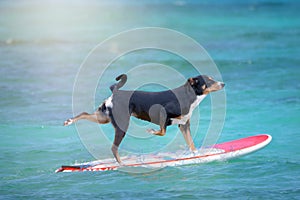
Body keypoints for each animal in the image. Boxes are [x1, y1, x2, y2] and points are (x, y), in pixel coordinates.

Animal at [65, 74, 225, 163]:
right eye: (209, 81)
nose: (223, 83)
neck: (189, 96)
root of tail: (116, 93)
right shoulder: (164, 113)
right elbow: (162, 132)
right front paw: (151, 131)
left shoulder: (184, 125)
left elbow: (191, 144)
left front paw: (198, 156)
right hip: (122, 125)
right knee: (114, 147)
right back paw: (122, 164)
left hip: (103, 118)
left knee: (84, 113)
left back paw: (69, 121)